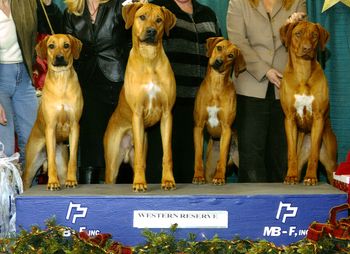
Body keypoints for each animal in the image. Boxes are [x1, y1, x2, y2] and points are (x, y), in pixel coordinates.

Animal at [22, 33, 82, 190]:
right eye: (51, 46)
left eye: (66, 45)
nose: (59, 57)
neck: (61, 81)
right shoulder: (50, 127)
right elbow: (51, 163)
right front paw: (52, 182)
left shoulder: (75, 126)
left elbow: (73, 159)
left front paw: (72, 180)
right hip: (31, 164)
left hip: (62, 162)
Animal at [103, 2, 175, 191]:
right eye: (142, 17)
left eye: (159, 20)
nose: (151, 31)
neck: (149, 60)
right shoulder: (137, 114)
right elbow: (139, 161)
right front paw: (140, 183)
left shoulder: (167, 114)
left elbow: (167, 153)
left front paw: (168, 180)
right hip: (113, 160)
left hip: (142, 143)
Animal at [191, 37, 246, 185]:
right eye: (219, 48)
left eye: (231, 56)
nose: (219, 61)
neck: (216, 86)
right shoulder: (198, 127)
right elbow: (198, 155)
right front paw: (198, 176)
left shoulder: (226, 129)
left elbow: (222, 156)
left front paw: (220, 177)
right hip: (210, 164)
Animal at [278, 21, 336, 185]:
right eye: (298, 34)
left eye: (314, 35)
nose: (307, 48)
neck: (303, 73)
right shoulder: (289, 119)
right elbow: (291, 152)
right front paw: (290, 176)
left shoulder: (318, 118)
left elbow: (314, 154)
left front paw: (311, 177)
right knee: (297, 161)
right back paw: (293, 175)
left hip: (331, 163)